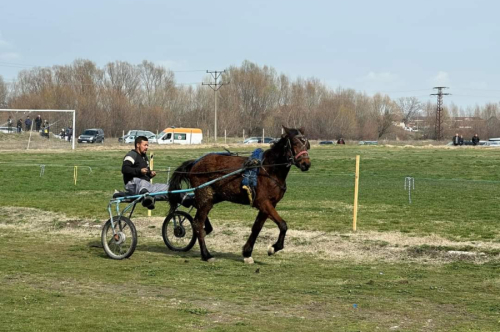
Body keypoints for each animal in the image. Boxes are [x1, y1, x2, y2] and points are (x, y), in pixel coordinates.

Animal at [169, 126, 308, 262]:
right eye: (295, 143)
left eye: (307, 145)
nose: (306, 164)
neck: (269, 170)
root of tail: (195, 163)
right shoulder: (262, 202)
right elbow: (283, 224)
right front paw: (274, 247)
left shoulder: (270, 204)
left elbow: (257, 227)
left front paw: (247, 252)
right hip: (205, 196)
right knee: (197, 222)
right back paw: (206, 254)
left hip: (213, 196)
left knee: (193, 206)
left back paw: (206, 228)